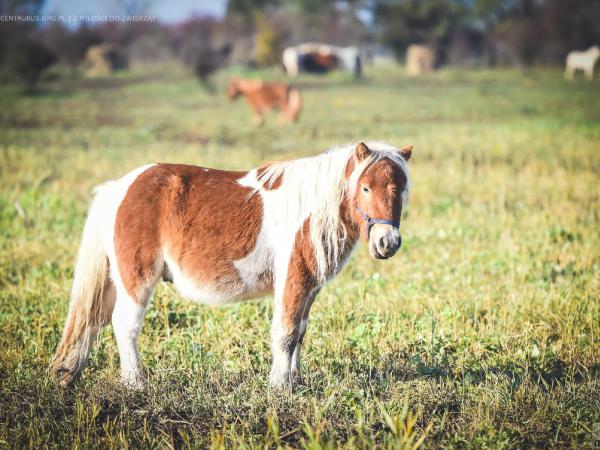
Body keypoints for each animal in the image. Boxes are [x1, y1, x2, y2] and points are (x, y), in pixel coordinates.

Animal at [51, 142, 412, 388]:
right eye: (365, 187)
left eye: (401, 189)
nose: (387, 242)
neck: (313, 209)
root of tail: (120, 188)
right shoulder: (293, 278)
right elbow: (285, 333)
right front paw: (280, 387)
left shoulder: (309, 285)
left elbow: (299, 333)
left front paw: (295, 381)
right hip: (135, 277)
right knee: (125, 325)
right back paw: (136, 383)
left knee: (97, 321)